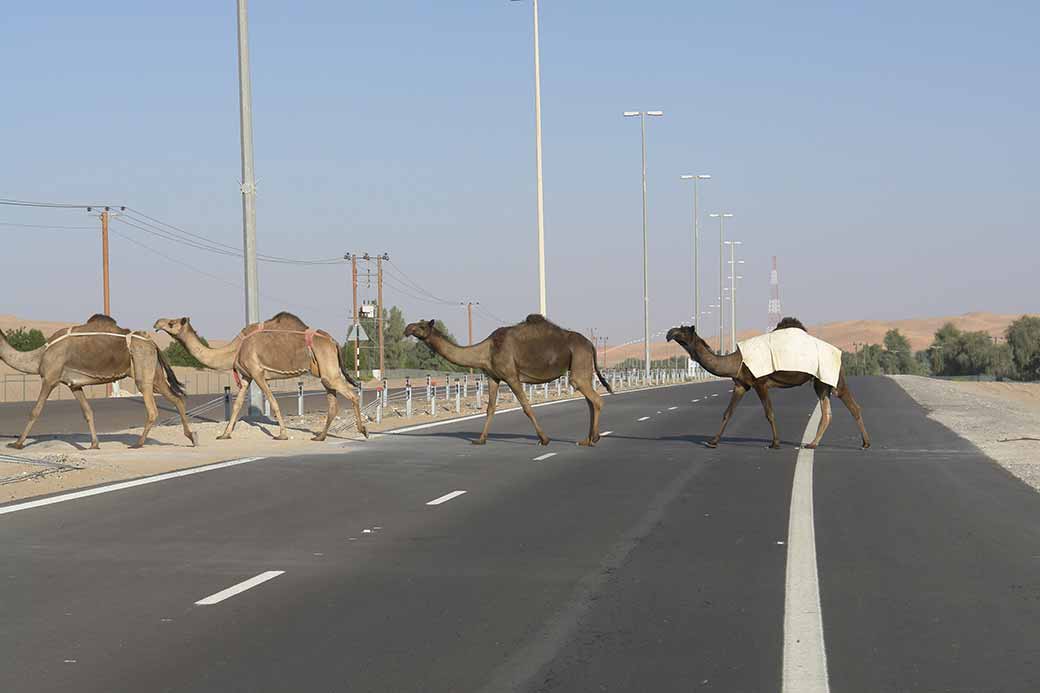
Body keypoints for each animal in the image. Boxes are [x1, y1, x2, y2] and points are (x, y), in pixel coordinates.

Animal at [0, 314, 197, 450]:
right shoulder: (74, 384)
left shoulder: (50, 378)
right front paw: (94, 444)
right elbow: (88, 412)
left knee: (152, 409)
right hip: (154, 373)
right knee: (177, 398)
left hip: (143, 368)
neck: (39, 356)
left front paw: (17, 444)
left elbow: (35, 411)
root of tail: (153, 343)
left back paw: (138, 444)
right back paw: (192, 437)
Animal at [153, 312, 368, 441]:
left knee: (351, 394)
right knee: (333, 403)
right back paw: (319, 437)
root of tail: (333, 341)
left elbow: (273, 402)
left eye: (172, 323)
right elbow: (237, 405)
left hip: (328, 368)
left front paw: (282, 435)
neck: (235, 349)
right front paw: (224, 434)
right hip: (323, 372)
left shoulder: (257, 373)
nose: (157, 322)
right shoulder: (246, 376)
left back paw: (363, 430)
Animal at [404, 314, 613, 446]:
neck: (485, 351)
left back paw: (593, 439)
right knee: (590, 401)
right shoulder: (493, 377)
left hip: (578, 361)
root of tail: (590, 344)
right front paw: (480, 440)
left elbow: (526, 407)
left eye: (422, 326)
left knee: (595, 399)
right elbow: (490, 408)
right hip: (582, 366)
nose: (407, 328)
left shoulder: (511, 375)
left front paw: (544, 439)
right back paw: (587, 439)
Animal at [666, 318, 869, 450]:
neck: (736, 361)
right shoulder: (741, 385)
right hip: (820, 383)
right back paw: (812, 444)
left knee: (853, 406)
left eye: (683, 331)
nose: (669, 333)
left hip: (833, 376)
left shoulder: (760, 382)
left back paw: (866, 443)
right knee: (827, 412)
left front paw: (775, 443)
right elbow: (727, 413)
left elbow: (769, 413)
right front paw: (713, 442)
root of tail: (840, 354)